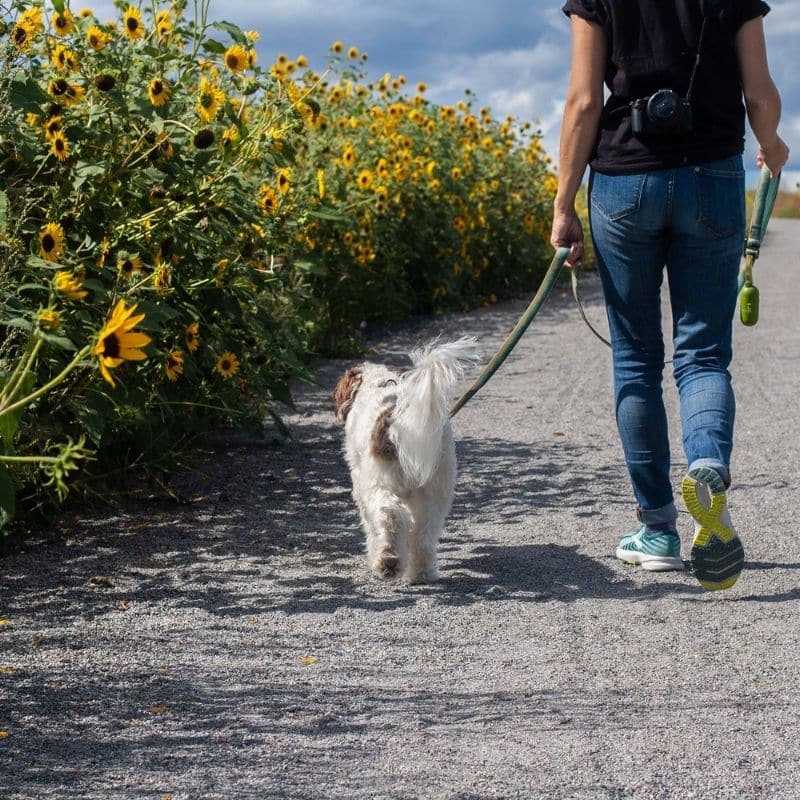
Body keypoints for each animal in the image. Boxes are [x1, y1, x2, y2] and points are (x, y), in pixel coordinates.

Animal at [332, 334, 478, 584]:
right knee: (424, 535)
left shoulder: (361, 484)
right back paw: (421, 573)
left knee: (390, 515)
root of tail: (397, 419)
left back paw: (387, 561)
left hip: (379, 484)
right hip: (435, 490)